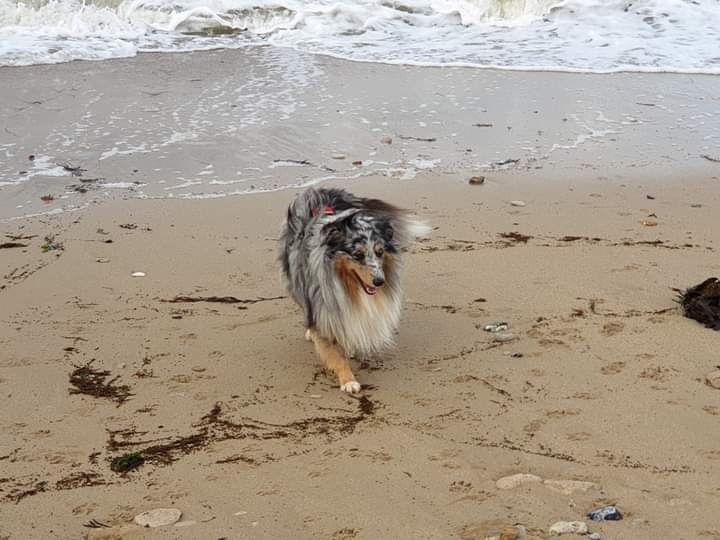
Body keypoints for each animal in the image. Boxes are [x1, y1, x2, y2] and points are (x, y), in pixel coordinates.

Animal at [280, 187, 428, 392]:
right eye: (358, 255)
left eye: (380, 252)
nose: (379, 281)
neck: (348, 286)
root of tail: (318, 189)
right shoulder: (323, 305)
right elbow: (333, 352)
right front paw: (348, 380)